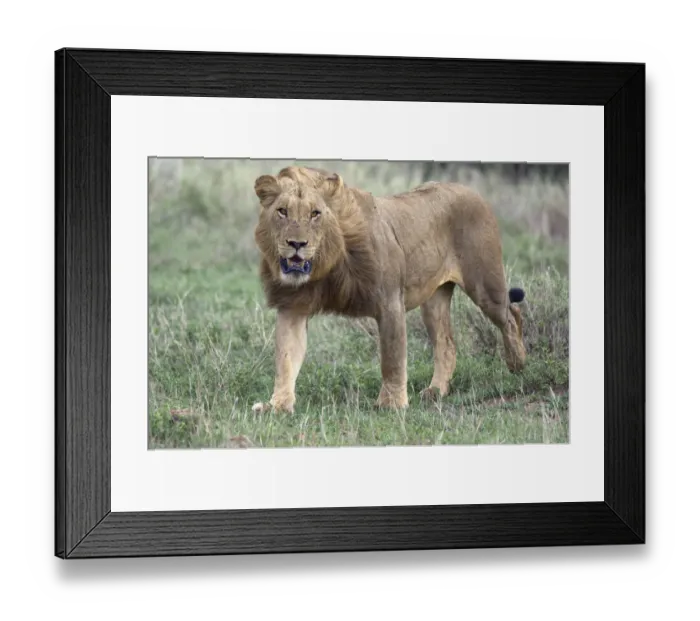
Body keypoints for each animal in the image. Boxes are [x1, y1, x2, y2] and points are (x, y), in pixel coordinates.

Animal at [251, 166, 526, 414]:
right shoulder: (293, 306)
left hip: (485, 285)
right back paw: (435, 391)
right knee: (446, 344)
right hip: (434, 300)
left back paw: (518, 364)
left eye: (315, 213)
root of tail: (472, 191)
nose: (296, 244)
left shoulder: (390, 301)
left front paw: (391, 405)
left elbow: (392, 358)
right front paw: (277, 406)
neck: (326, 263)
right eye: (282, 211)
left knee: (511, 315)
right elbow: (285, 359)